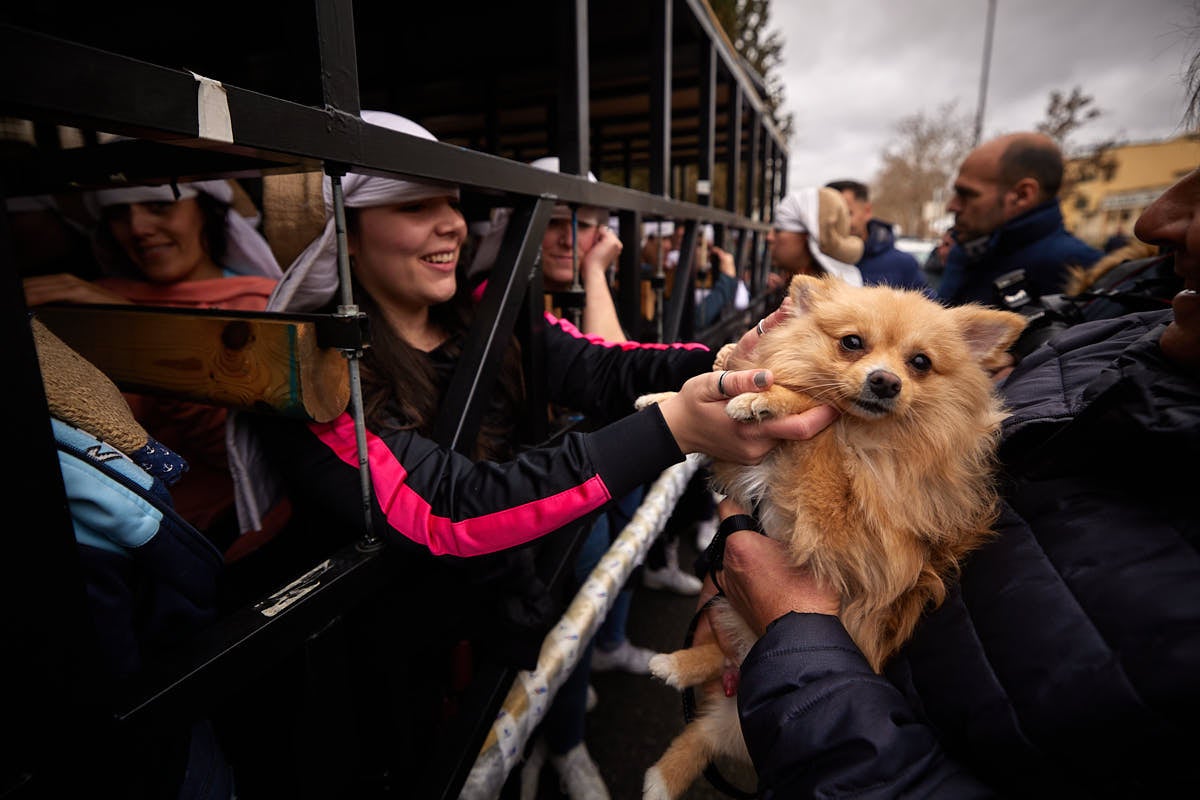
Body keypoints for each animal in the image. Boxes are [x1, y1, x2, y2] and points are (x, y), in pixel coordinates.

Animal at [638, 275, 1032, 800]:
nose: (886, 381)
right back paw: (672, 675)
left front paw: (769, 398)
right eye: (852, 343)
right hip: (727, 626)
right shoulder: (742, 469)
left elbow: (820, 414)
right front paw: (664, 400)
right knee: (713, 692)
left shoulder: (849, 537)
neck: (864, 435)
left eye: (920, 363)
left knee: (716, 712)